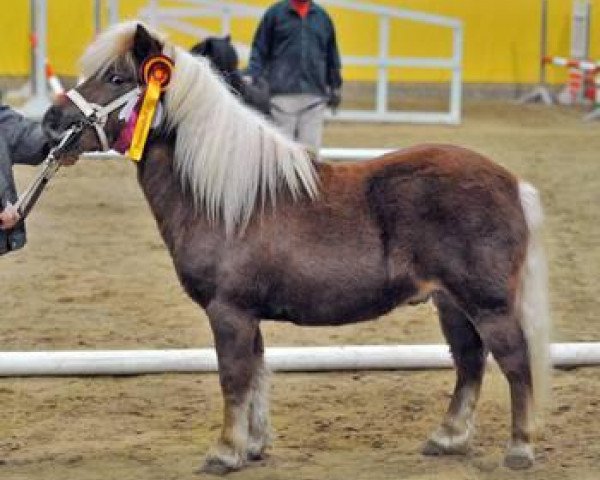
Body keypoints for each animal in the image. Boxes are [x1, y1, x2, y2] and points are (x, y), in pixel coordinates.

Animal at [42, 21, 552, 472]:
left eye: (117, 78)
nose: (51, 121)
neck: (225, 197)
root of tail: (512, 183)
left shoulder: (228, 311)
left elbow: (234, 379)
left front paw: (224, 452)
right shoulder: (248, 314)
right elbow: (257, 374)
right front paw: (252, 446)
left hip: (486, 303)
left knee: (515, 362)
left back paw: (519, 449)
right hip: (450, 303)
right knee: (469, 361)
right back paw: (447, 438)